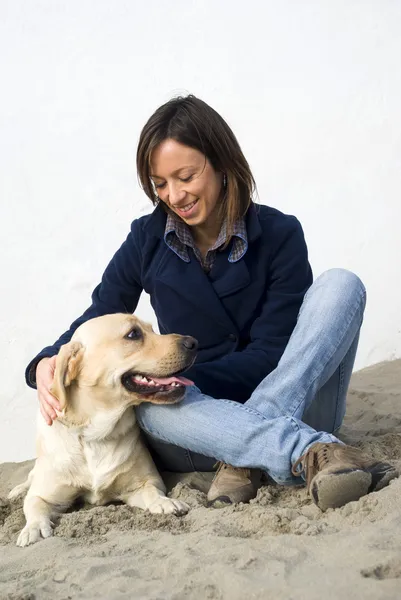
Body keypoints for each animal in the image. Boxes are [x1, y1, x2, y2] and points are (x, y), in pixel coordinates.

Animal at [9, 314, 197, 548]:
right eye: (133, 334)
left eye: (152, 329)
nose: (193, 342)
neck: (94, 435)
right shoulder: (44, 495)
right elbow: (34, 505)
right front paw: (32, 528)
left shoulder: (143, 483)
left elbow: (152, 491)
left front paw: (165, 502)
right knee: (29, 478)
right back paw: (16, 491)